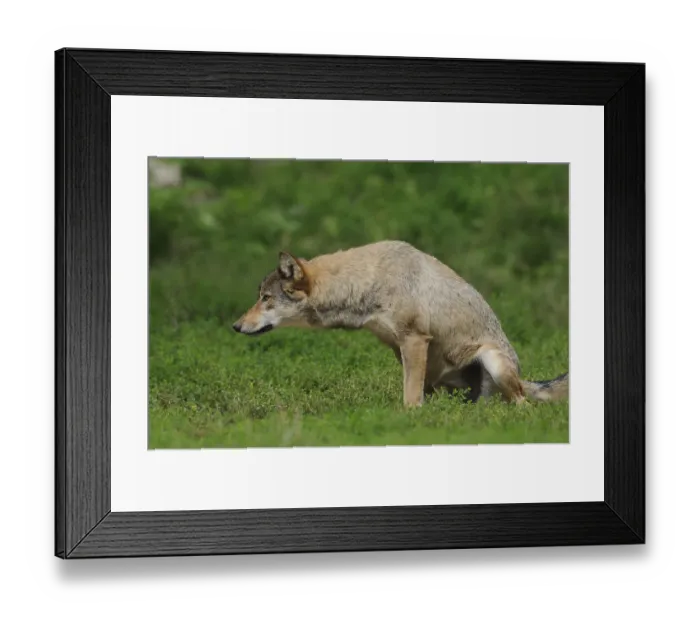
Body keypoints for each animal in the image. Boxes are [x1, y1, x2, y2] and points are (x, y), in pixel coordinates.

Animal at [233, 240, 569, 407]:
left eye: (265, 298)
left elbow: (410, 398)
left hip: (494, 363)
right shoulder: (399, 346)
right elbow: (414, 390)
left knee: (523, 406)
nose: (235, 326)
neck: (369, 281)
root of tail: (524, 378)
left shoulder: (415, 339)